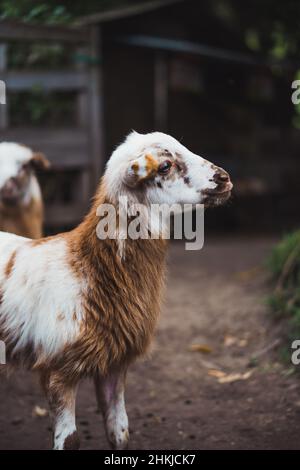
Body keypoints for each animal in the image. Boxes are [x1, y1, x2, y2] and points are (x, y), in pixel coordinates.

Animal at [0, 130, 232, 450]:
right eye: (164, 167)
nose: (223, 178)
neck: (90, 268)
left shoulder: (114, 362)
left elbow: (120, 433)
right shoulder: (57, 369)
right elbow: (70, 441)